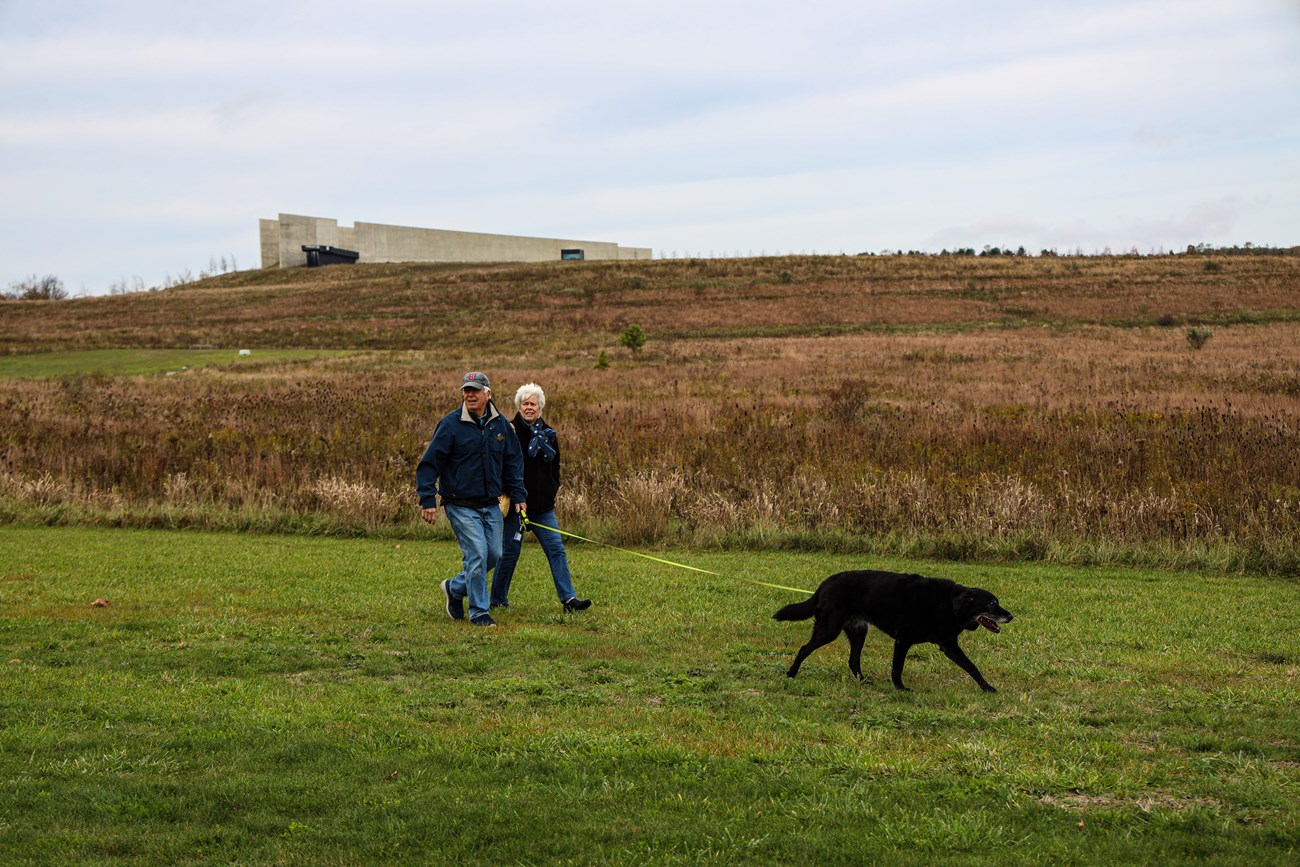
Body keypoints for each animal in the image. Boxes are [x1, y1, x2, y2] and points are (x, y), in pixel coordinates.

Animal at [769, 569, 1013, 691]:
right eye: (992, 603)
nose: (1011, 616)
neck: (950, 605)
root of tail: (824, 584)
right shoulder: (903, 641)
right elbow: (897, 668)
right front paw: (901, 689)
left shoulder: (949, 645)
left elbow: (972, 667)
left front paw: (987, 688)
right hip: (830, 629)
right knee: (804, 648)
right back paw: (791, 674)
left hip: (858, 631)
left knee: (853, 660)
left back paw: (863, 681)